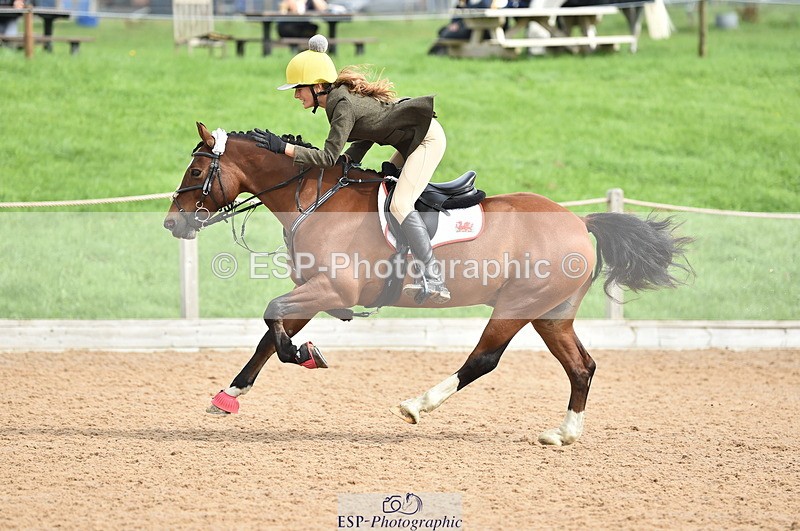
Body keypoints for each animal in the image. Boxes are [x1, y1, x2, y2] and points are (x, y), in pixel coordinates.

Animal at [163, 122, 691, 446]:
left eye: (196, 170)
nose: (172, 222)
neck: (317, 198)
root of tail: (581, 221)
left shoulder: (333, 290)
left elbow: (274, 320)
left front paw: (306, 354)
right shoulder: (314, 289)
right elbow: (269, 335)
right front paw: (230, 394)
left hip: (518, 305)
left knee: (483, 360)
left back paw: (417, 406)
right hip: (551, 314)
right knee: (582, 367)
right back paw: (562, 434)